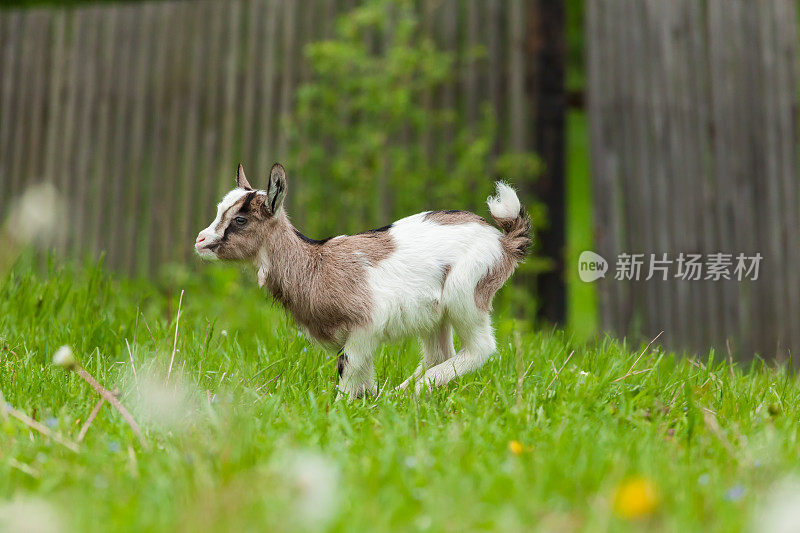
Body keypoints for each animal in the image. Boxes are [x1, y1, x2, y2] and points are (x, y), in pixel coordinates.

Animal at [195, 164, 532, 396]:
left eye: (240, 219)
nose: (200, 240)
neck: (315, 264)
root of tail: (502, 241)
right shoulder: (358, 337)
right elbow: (361, 379)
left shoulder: (365, 327)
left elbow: (348, 374)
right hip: (435, 316)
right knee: (439, 353)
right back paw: (402, 394)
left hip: (467, 293)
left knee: (481, 348)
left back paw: (414, 390)